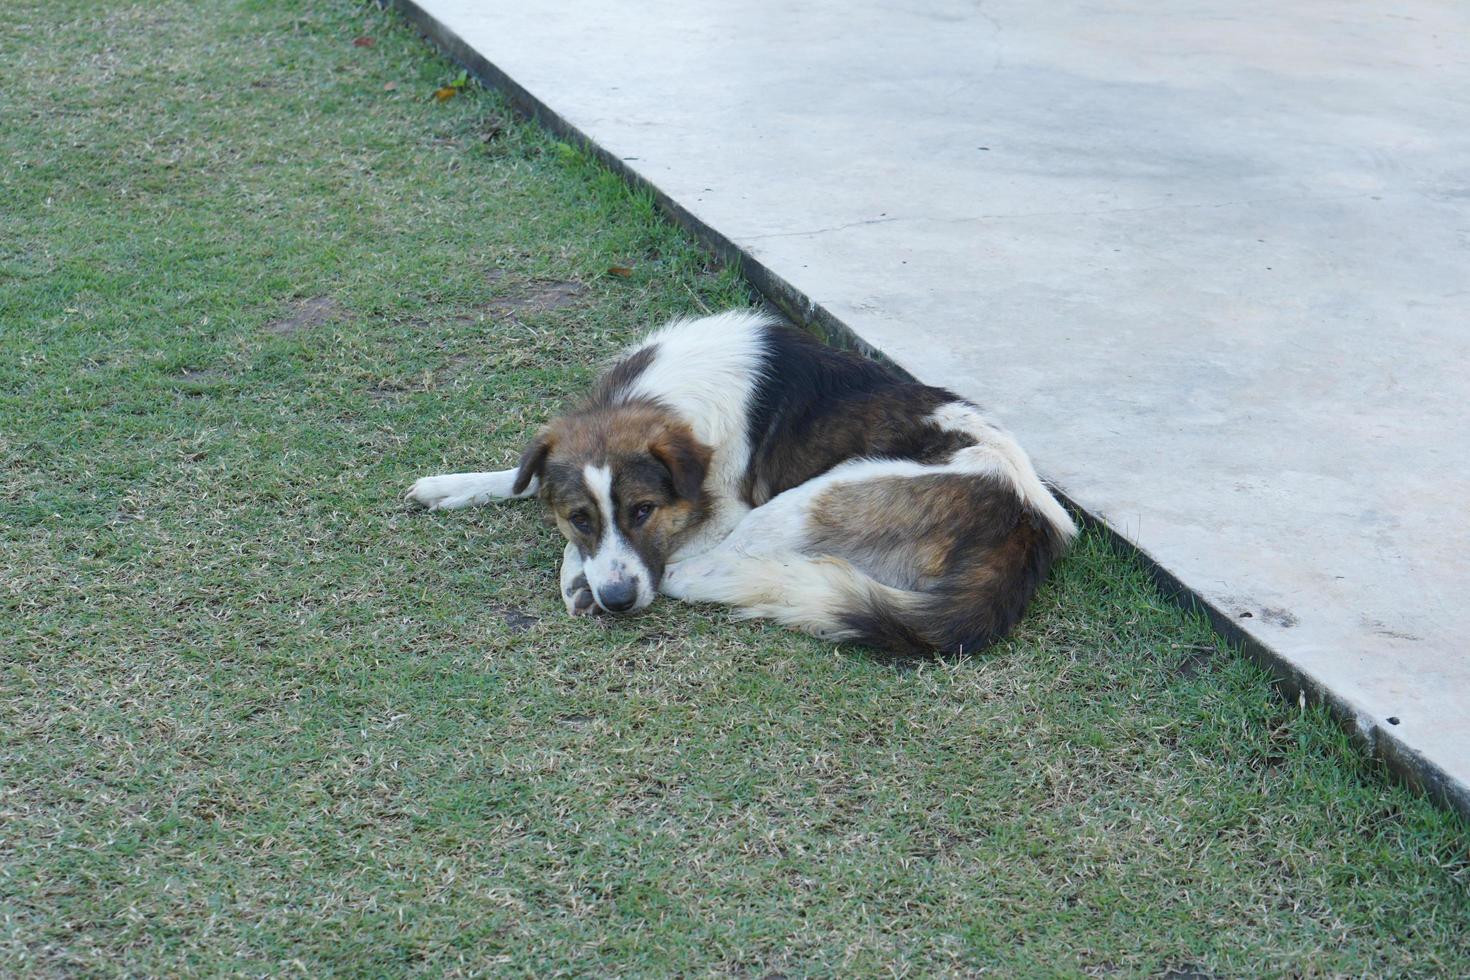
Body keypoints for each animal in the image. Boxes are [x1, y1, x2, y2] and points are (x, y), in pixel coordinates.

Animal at [408, 310, 1076, 655]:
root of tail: (1031, 521)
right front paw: (456, 485)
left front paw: (578, 575)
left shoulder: (725, 509)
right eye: (581, 516)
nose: (618, 601)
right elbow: (525, 479)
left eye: (644, 510)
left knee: (709, 571)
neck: (658, 392)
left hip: (809, 500)